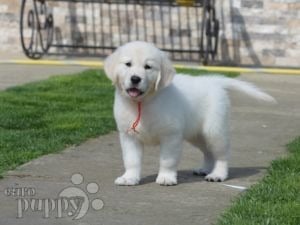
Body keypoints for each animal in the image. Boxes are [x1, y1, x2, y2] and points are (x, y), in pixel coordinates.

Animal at [104, 41, 276, 185]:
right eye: (128, 64)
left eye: (148, 67)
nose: (135, 79)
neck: (143, 102)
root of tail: (213, 81)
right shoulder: (129, 136)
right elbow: (131, 160)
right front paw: (129, 178)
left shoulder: (171, 135)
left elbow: (167, 160)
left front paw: (166, 177)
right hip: (196, 134)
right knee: (208, 151)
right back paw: (205, 169)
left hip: (214, 130)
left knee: (222, 154)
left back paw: (217, 174)